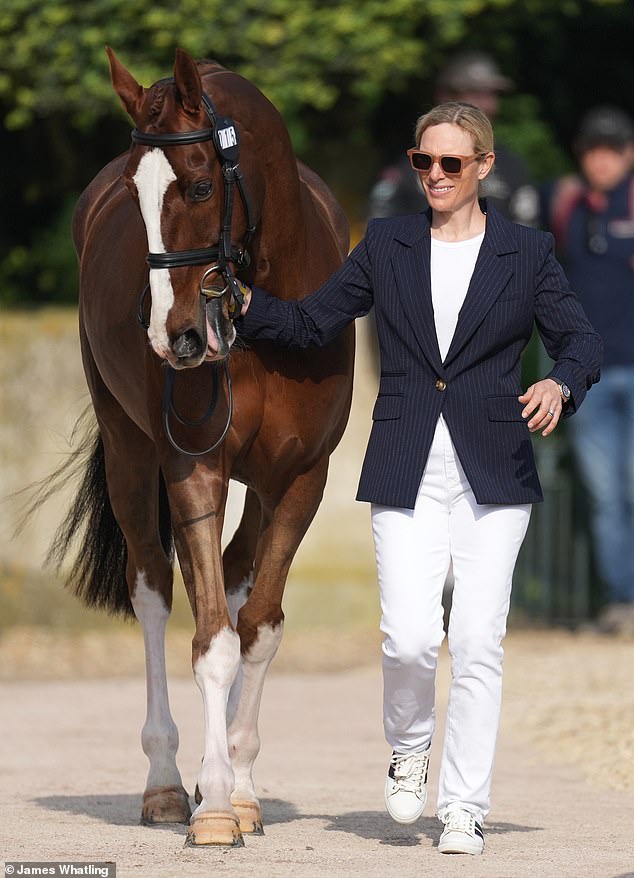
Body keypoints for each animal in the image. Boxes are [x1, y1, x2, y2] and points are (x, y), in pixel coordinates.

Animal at [62, 48, 354, 844]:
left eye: (198, 185)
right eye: (136, 196)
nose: (176, 337)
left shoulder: (300, 480)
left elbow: (258, 628)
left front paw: (239, 789)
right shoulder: (195, 468)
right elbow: (213, 640)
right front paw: (216, 807)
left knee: (229, 582)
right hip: (132, 456)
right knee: (157, 593)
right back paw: (168, 783)